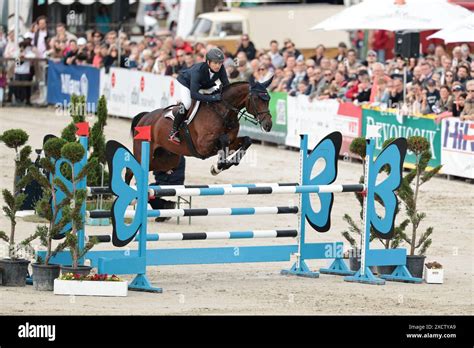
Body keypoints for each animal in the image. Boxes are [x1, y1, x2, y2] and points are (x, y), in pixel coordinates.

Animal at [126, 77, 274, 184]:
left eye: (269, 99)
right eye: (256, 98)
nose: (268, 125)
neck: (223, 113)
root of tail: (144, 117)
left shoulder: (232, 141)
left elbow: (246, 140)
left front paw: (224, 165)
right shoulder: (203, 146)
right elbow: (223, 140)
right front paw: (219, 166)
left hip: (168, 159)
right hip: (143, 152)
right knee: (130, 171)